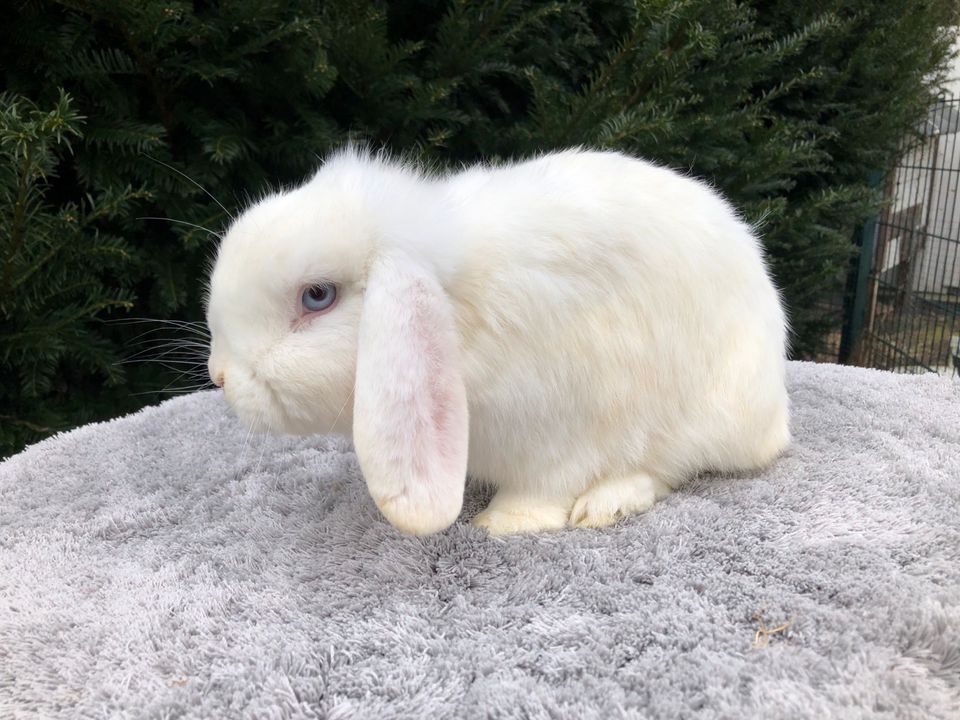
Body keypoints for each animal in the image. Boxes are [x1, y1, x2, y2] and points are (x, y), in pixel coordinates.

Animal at [208, 148, 788, 536]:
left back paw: (607, 503)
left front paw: (503, 524)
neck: (458, 312)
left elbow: (544, 485)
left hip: (704, 415)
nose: (219, 375)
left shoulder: (557, 425)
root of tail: (775, 416)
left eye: (317, 296)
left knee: (668, 468)